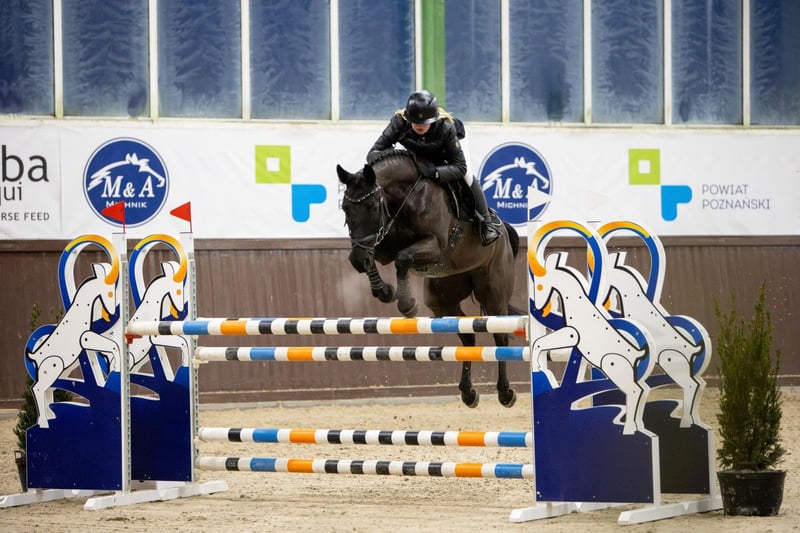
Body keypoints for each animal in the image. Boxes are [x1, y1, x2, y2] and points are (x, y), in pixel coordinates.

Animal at [336, 150, 522, 408]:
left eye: (372, 207)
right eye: (345, 208)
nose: (356, 258)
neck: (405, 197)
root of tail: (503, 227)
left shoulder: (434, 247)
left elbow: (403, 259)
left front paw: (407, 304)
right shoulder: (383, 245)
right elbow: (377, 258)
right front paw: (384, 291)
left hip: (493, 294)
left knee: (500, 335)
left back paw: (505, 393)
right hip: (443, 298)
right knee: (467, 335)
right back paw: (468, 392)